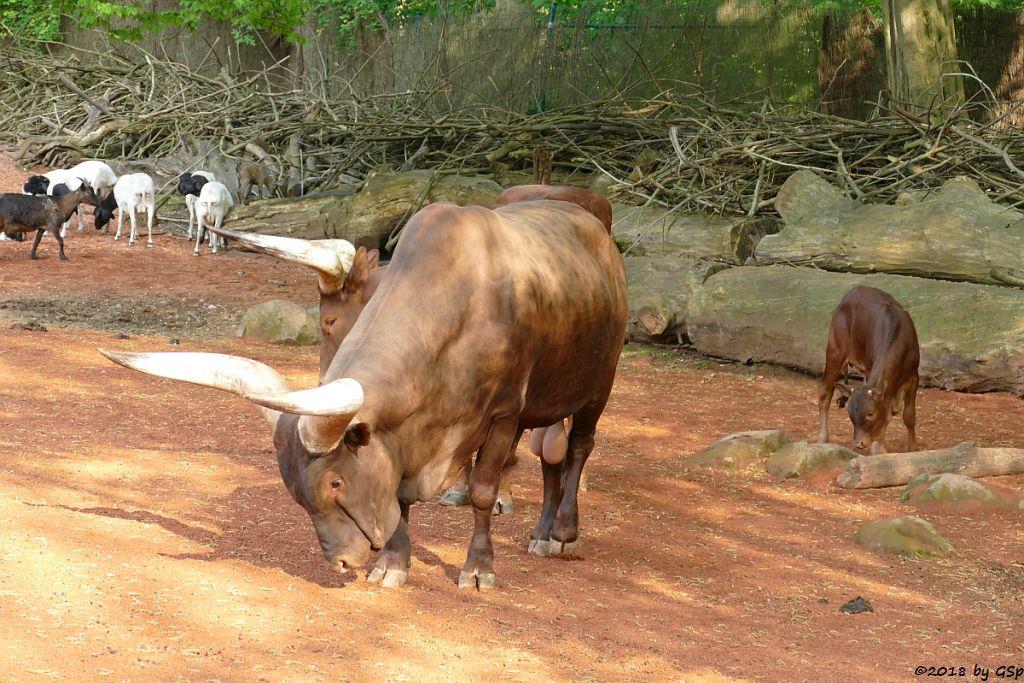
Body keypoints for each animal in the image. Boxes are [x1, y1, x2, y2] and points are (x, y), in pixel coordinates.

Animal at [108, 196, 626, 589]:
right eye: (295, 492)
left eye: (335, 482)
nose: (341, 561)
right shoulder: (405, 438)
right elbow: (398, 499)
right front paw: (393, 565)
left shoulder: (503, 415)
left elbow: (483, 492)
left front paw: (479, 568)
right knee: (550, 455)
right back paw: (542, 530)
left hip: (597, 384)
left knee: (577, 447)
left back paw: (563, 530)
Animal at [815, 284, 921, 454]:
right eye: (851, 414)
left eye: (871, 413)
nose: (859, 443)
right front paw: (878, 449)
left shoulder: (913, 377)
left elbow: (909, 416)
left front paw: (913, 447)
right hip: (835, 350)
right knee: (825, 392)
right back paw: (823, 438)